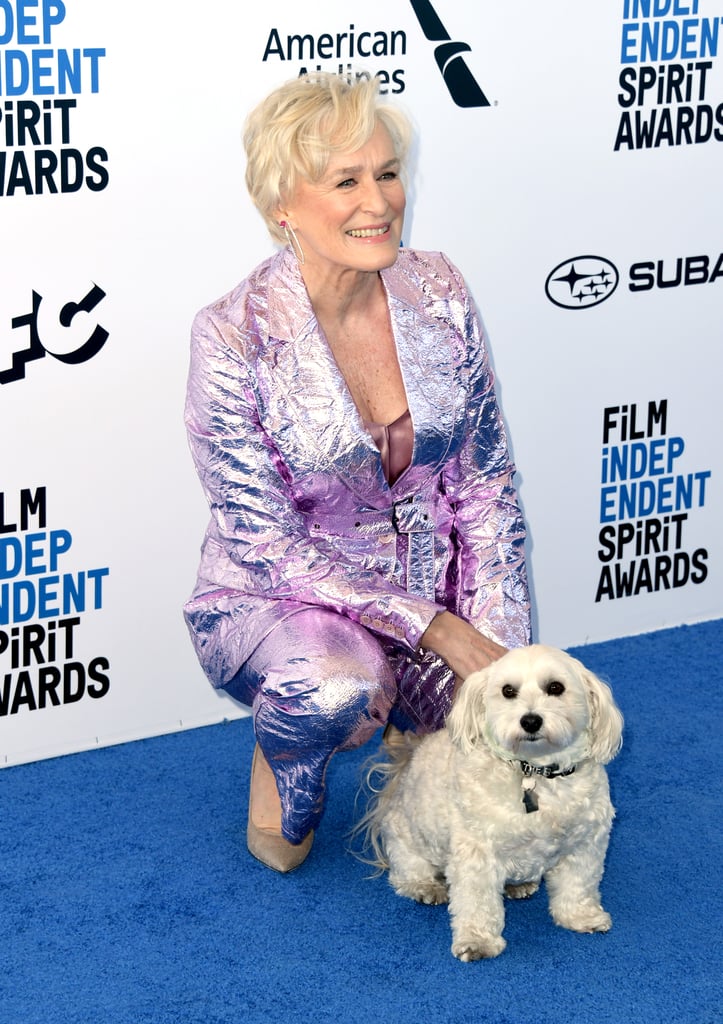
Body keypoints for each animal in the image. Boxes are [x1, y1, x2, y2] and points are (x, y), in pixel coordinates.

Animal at [360, 643, 618, 962]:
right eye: (508, 691)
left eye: (556, 687)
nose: (530, 720)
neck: (535, 771)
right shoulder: (476, 851)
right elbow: (477, 900)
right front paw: (477, 941)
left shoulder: (586, 843)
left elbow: (578, 884)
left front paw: (580, 917)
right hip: (407, 839)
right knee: (405, 872)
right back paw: (425, 886)